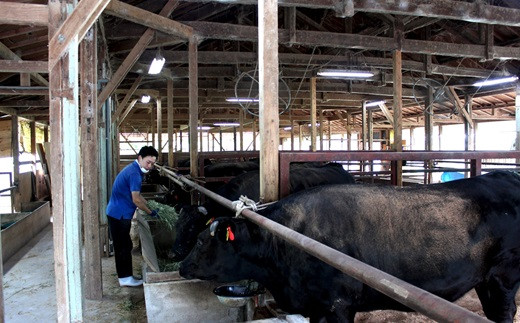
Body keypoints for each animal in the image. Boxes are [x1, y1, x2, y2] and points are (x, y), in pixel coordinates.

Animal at [179, 171, 520, 322]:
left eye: (201, 239)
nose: (181, 264)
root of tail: (504, 175)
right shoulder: (316, 308)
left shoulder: (337, 305)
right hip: (486, 281)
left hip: (504, 278)